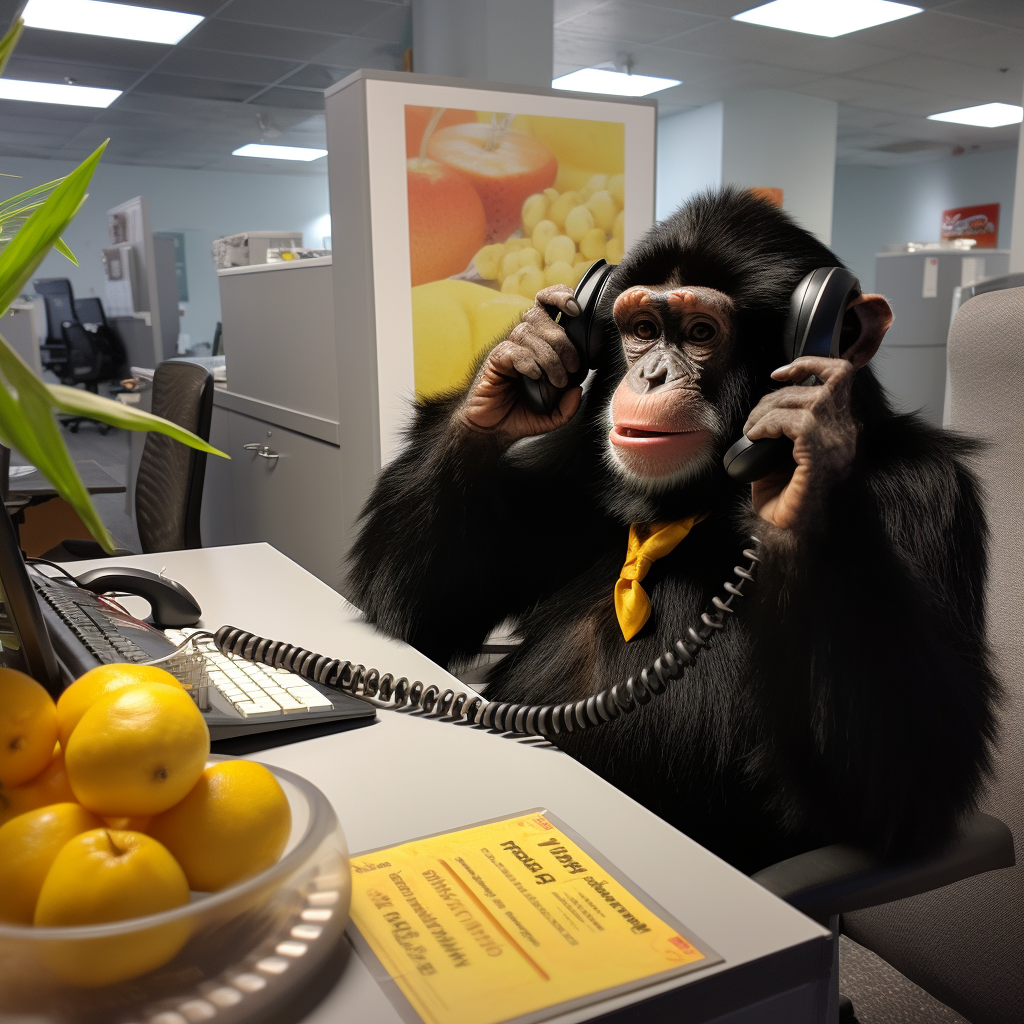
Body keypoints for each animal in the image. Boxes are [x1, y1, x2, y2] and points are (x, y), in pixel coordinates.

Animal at [348, 190, 995, 872]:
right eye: (641, 331)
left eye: (700, 333)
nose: (652, 374)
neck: (698, 503)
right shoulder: (569, 468)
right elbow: (421, 611)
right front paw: (525, 351)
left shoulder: (927, 497)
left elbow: (904, 784)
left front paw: (809, 446)